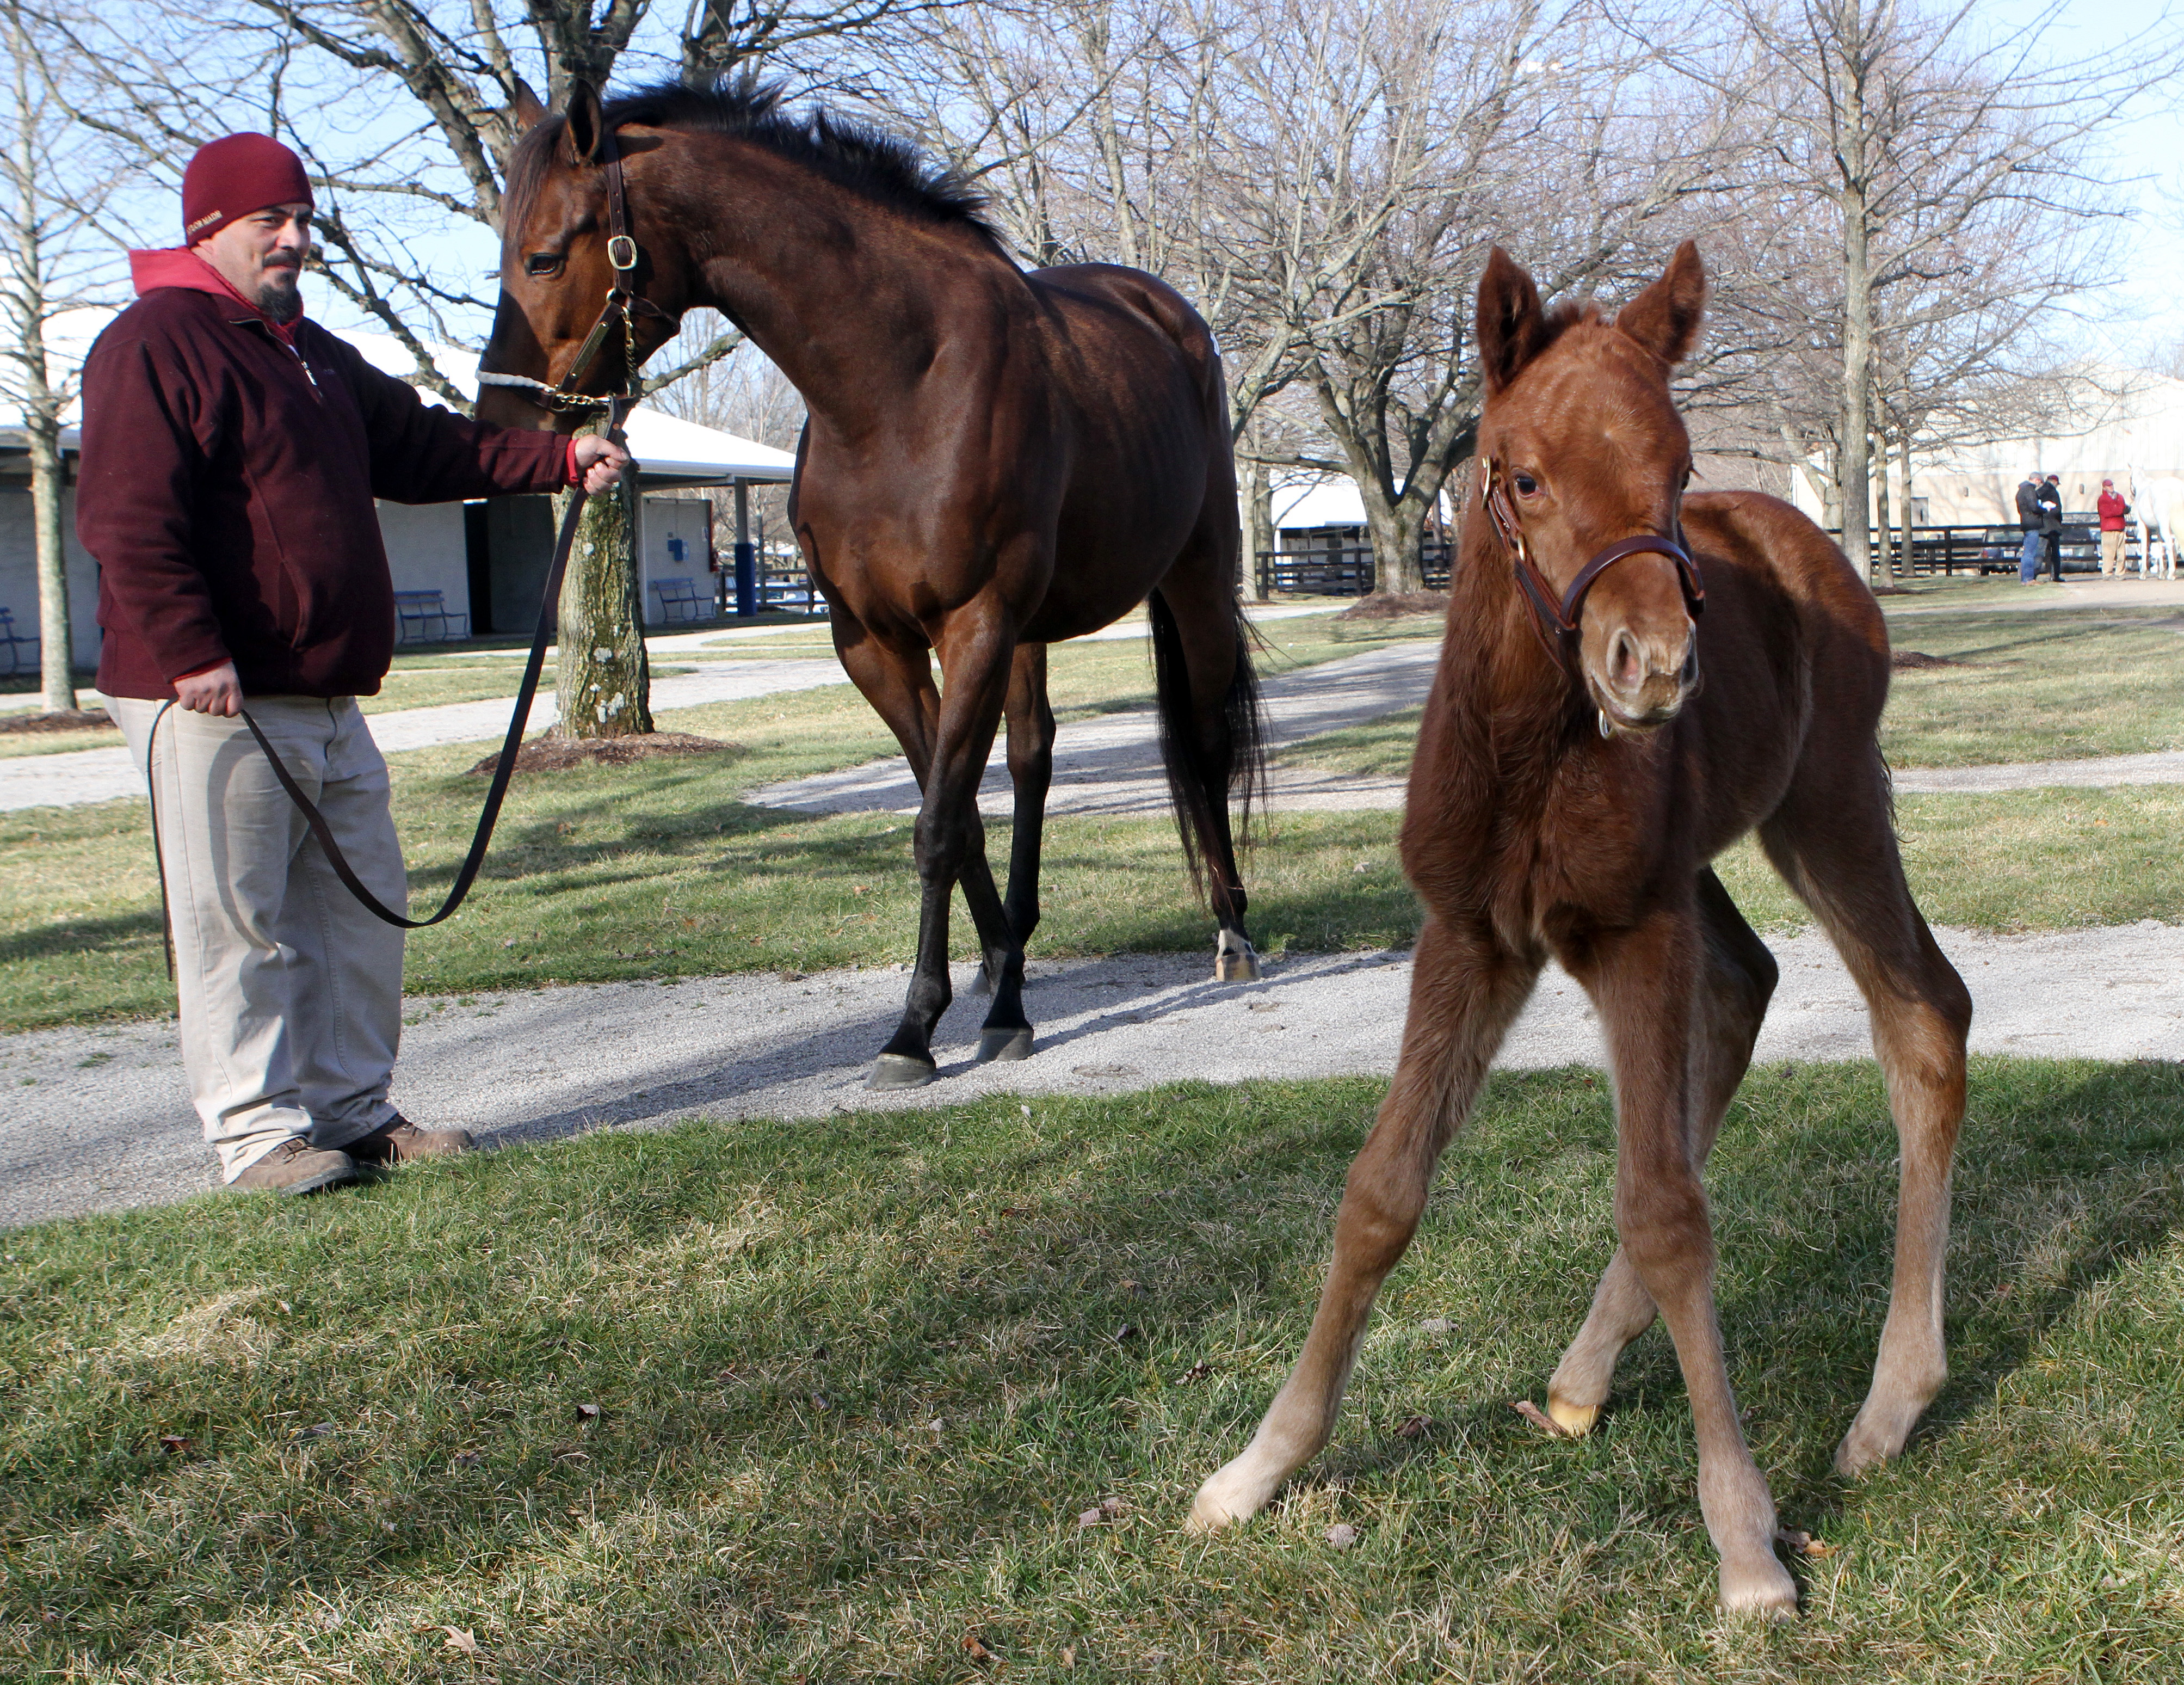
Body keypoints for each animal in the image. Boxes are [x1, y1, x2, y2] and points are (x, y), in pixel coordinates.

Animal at [476, 79, 1267, 1088]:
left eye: (542, 254)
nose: (495, 420)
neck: (896, 388)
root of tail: (1166, 315)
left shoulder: (972, 623)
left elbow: (936, 826)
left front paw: (916, 1031)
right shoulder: (873, 642)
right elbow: (956, 815)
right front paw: (992, 988)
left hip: (1191, 581)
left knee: (1201, 743)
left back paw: (1231, 930)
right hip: (1030, 635)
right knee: (1034, 760)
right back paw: (1014, 947)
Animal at [1189, 243, 1972, 1617]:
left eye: (1677, 469)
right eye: (1523, 473)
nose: (1650, 664)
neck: (1523, 754)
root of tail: (1814, 545)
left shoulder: (1630, 927)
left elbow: (1665, 1210)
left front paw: (1743, 1546)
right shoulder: (1470, 936)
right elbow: (1382, 1190)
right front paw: (1255, 1468)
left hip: (1825, 806)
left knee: (1922, 1015)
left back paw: (1888, 1406)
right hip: (1718, 855)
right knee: (1749, 987)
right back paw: (1584, 1375)